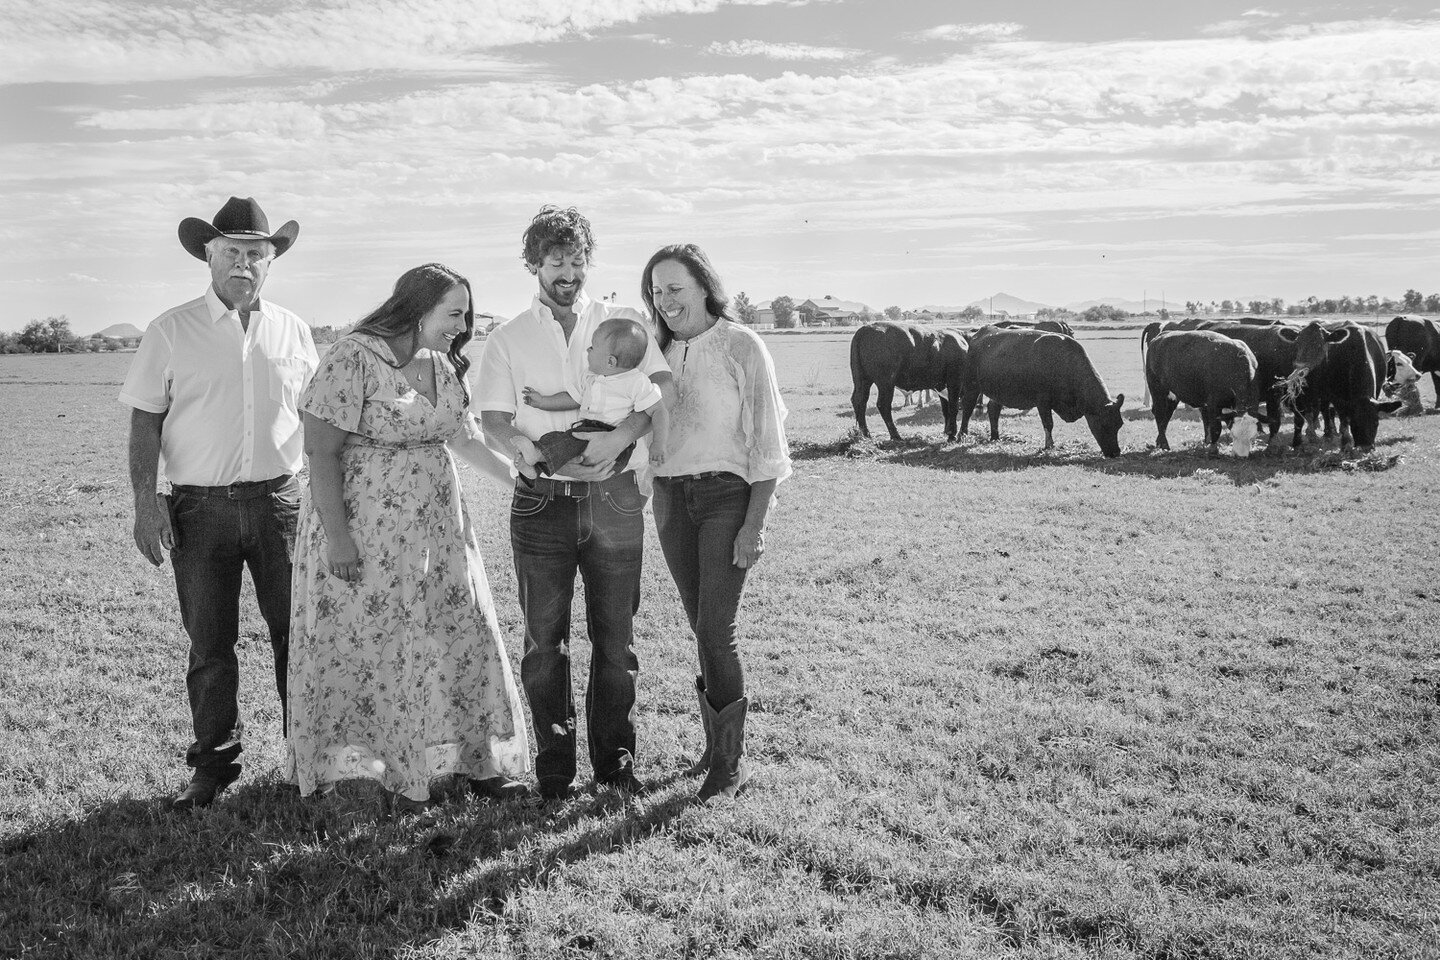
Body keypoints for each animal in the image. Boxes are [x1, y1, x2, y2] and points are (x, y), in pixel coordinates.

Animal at [961, 326, 1128, 457]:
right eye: (1104, 425)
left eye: (1119, 425)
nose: (1115, 453)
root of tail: (980, 332)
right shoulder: (1043, 401)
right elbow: (1048, 423)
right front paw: (1049, 446)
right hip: (971, 385)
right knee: (967, 408)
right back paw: (962, 434)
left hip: (998, 391)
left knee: (993, 409)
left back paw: (995, 437)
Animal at [1290, 322, 1399, 451]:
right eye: (1354, 423)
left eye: (1376, 423)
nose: (1366, 447)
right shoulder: (1337, 398)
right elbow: (1343, 420)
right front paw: (1346, 442)